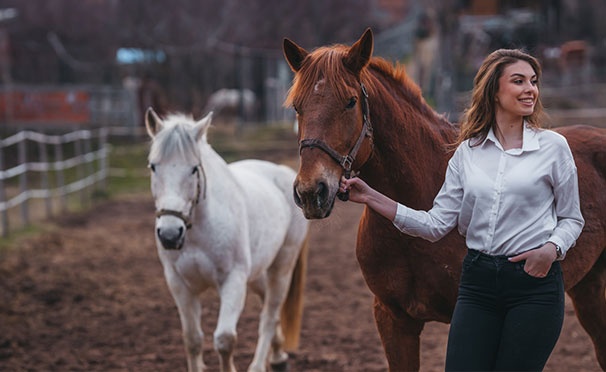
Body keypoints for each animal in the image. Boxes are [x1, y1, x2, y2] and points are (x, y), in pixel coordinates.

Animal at [145, 107, 312, 372]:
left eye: (194, 168)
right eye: (153, 166)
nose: (170, 234)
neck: (200, 229)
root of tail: (283, 173)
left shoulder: (233, 281)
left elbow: (224, 340)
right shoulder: (179, 284)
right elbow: (192, 339)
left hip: (282, 267)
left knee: (270, 314)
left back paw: (261, 364)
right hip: (257, 273)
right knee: (267, 304)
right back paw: (278, 356)